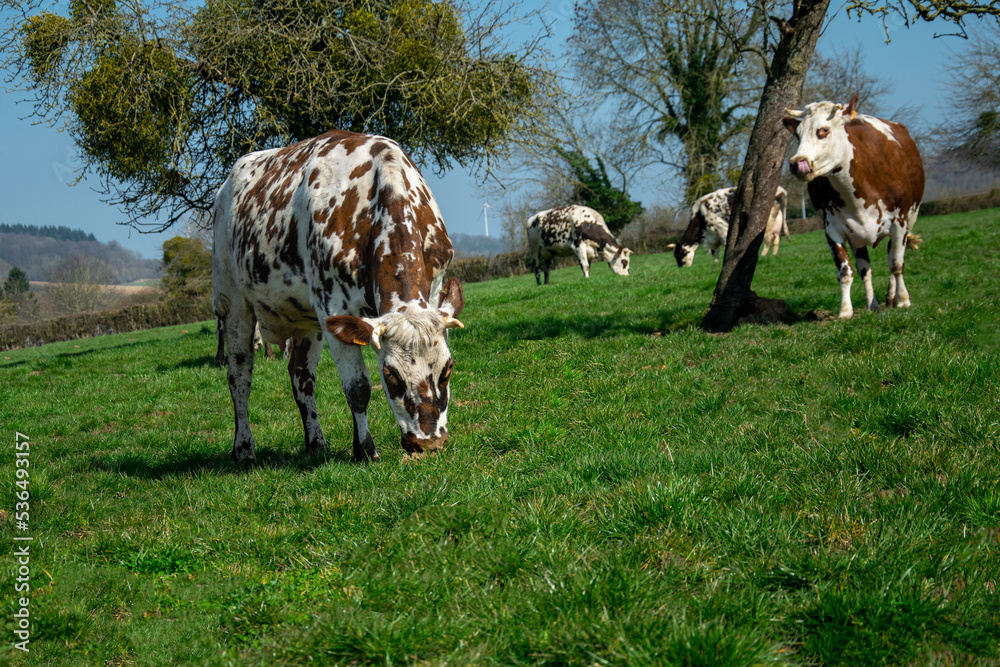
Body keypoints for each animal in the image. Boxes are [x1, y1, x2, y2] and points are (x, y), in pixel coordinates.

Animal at [212, 130, 465, 464]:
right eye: (390, 375)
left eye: (447, 369)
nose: (428, 443)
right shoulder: (332, 304)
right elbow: (358, 387)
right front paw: (366, 450)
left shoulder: (433, 290)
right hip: (231, 303)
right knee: (239, 377)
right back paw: (244, 449)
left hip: (305, 319)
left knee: (301, 378)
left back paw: (316, 442)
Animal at [784, 94, 924, 319]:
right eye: (797, 134)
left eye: (823, 130)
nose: (798, 163)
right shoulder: (833, 228)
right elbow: (846, 271)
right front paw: (845, 310)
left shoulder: (900, 222)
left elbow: (896, 264)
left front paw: (903, 300)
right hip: (857, 237)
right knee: (864, 269)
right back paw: (873, 304)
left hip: (910, 218)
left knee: (891, 255)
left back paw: (891, 297)